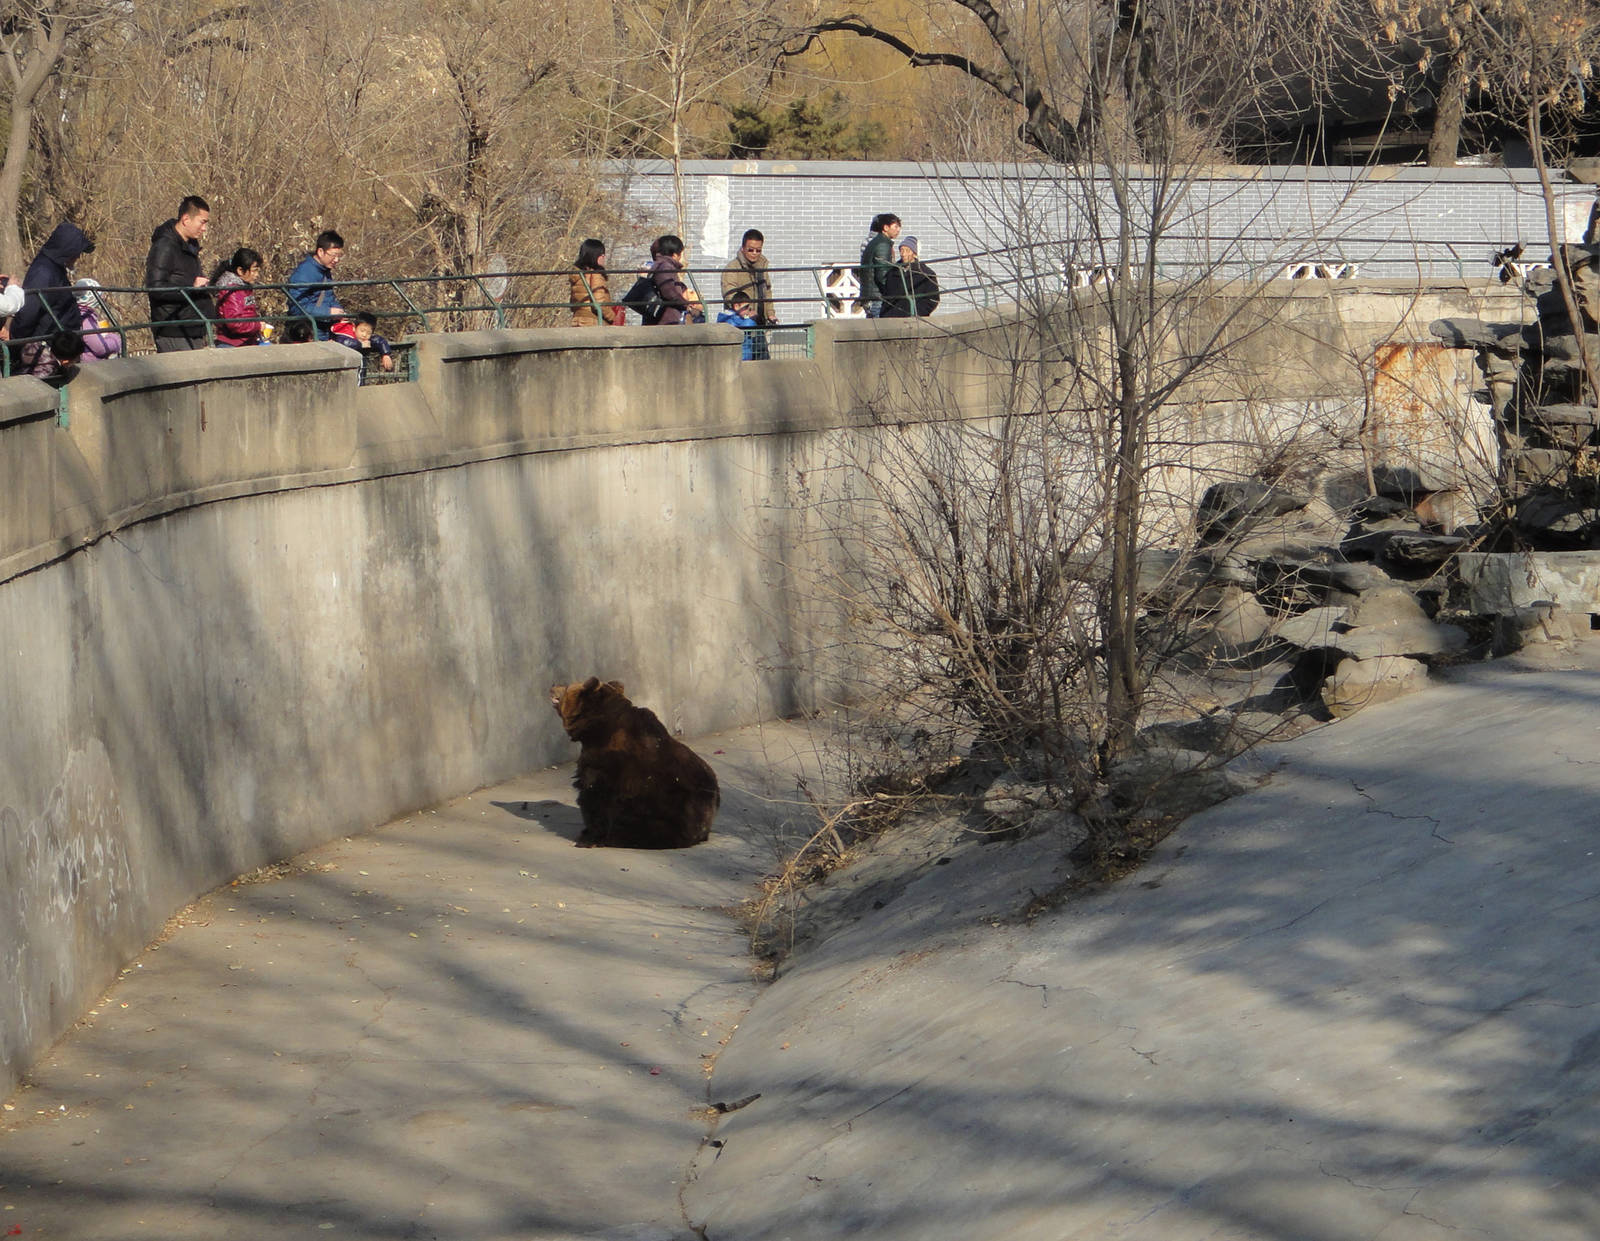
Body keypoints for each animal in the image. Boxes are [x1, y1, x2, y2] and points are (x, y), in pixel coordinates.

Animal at [548, 677, 720, 849]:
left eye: (567, 687)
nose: (552, 686)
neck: (596, 730)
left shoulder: (609, 764)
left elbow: (594, 796)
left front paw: (588, 837)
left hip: (669, 807)